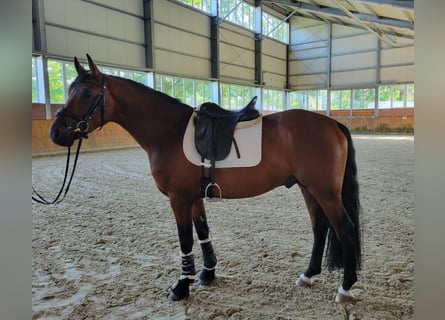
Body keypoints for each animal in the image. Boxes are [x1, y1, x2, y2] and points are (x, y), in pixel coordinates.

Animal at [49, 55, 360, 304]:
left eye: (87, 94)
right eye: (70, 90)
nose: (56, 132)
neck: (168, 132)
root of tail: (332, 123)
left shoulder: (179, 199)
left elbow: (185, 240)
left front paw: (181, 286)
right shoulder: (195, 196)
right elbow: (203, 232)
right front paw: (207, 274)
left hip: (325, 191)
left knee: (345, 229)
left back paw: (345, 288)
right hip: (308, 188)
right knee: (320, 228)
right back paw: (308, 275)